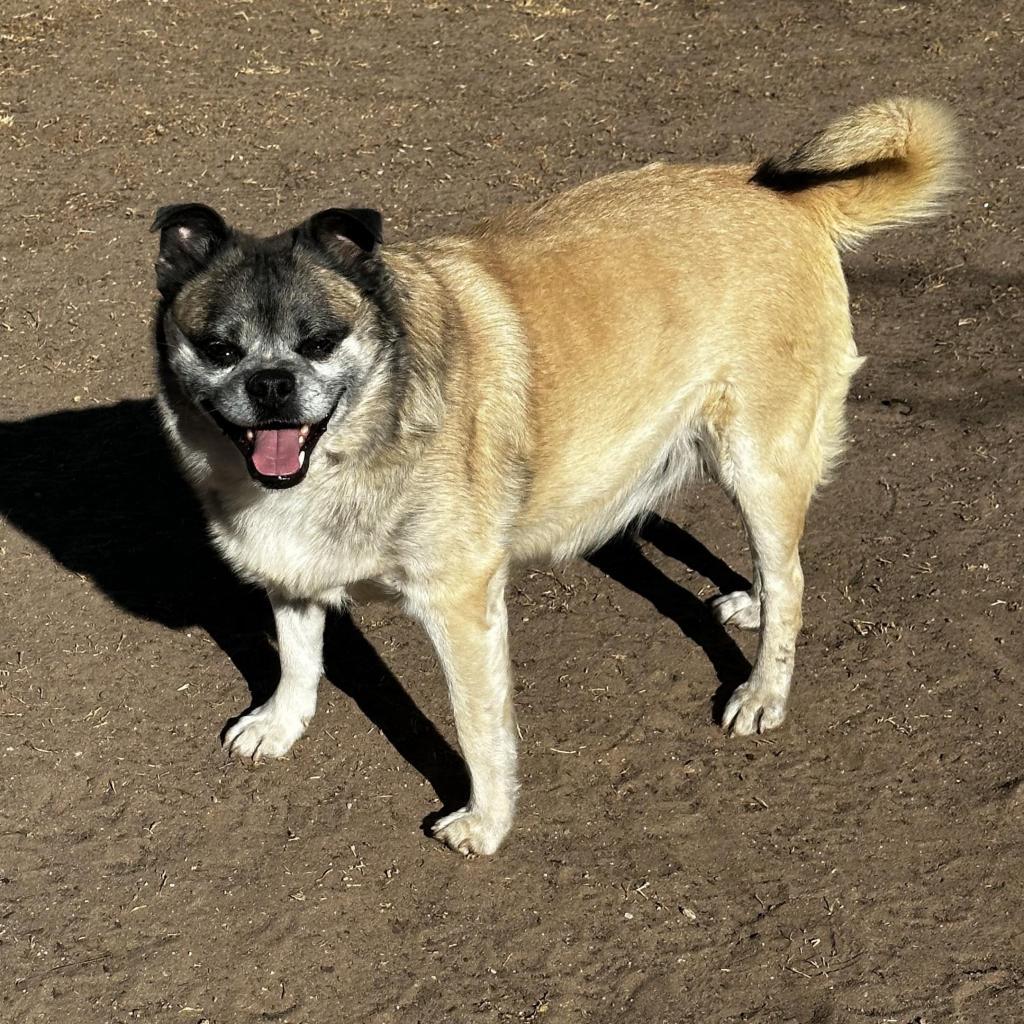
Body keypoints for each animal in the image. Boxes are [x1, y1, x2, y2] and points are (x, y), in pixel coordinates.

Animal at [151, 97, 958, 856]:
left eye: (320, 342)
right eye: (220, 350)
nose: (271, 384)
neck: (367, 429)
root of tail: (787, 199)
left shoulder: (462, 607)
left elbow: (479, 730)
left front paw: (487, 822)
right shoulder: (293, 570)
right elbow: (297, 656)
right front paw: (282, 722)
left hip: (756, 463)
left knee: (792, 581)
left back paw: (764, 689)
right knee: (778, 568)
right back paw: (753, 607)